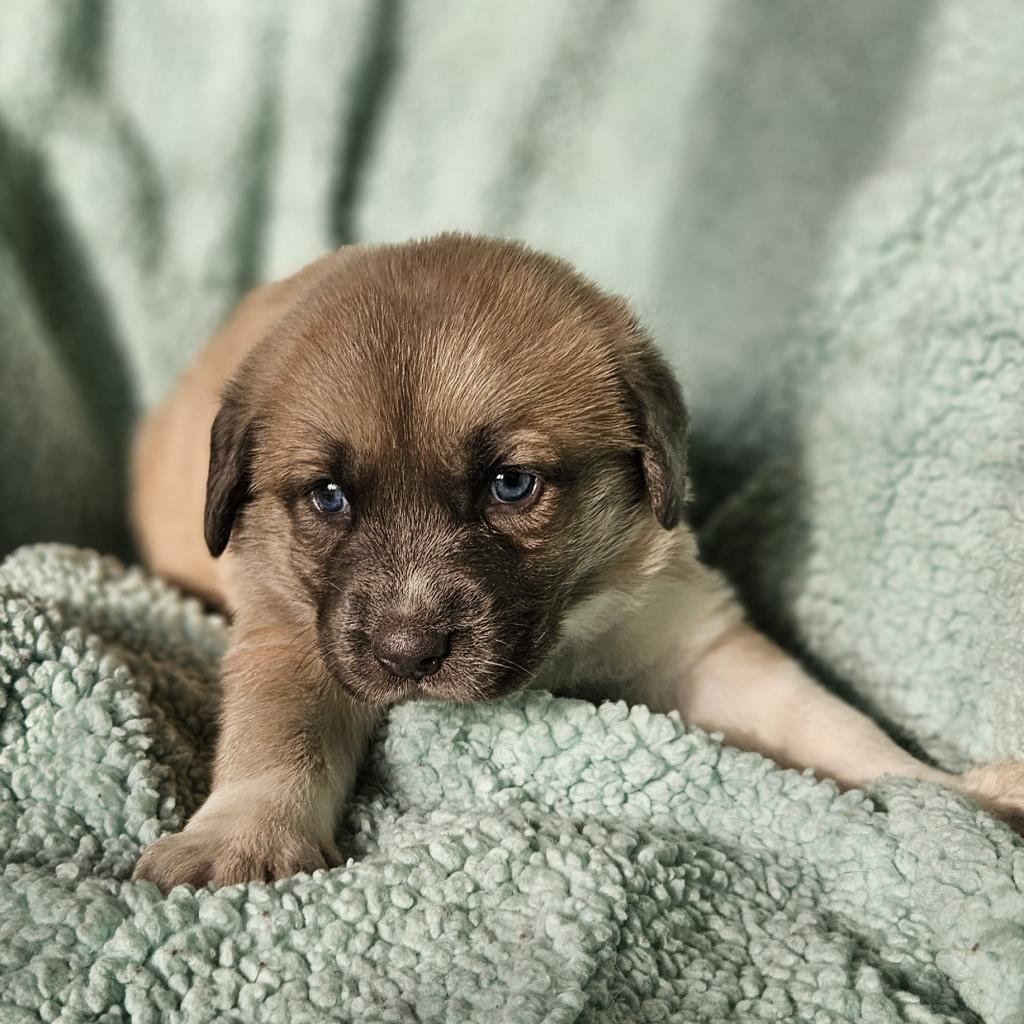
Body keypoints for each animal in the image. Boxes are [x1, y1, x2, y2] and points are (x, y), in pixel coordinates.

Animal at [134, 234, 1024, 888]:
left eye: (511, 484)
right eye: (327, 498)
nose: (407, 654)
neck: (562, 636)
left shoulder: (688, 635)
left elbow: (828, 724)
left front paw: (950, 790)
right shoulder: (292, 631)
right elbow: (280, 737)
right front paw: (246, 836)